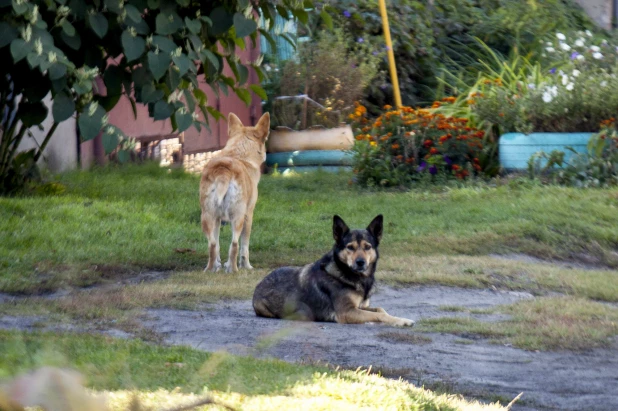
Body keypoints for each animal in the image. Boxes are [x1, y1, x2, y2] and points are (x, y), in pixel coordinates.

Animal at [200, 112, 270, 274]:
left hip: (206, 216)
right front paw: (247, 266)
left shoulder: (217, 219)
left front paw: (218, 264)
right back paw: (233, 269)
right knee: (234, 244)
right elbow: (244, 247)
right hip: (237, 218)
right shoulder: (248, 215)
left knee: (212, 244)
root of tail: (223, 170)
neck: (238, 155)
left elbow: (217, 245)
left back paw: (210, 269)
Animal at [250, 216, 414, 328]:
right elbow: (379, 316)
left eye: (367, 247)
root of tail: (258, 286)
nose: (360, 262)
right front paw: (402, 320)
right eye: (350, 247)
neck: (347, 273)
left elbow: (380, 310)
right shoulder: (348, 312)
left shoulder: (361, 307)